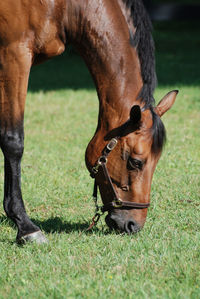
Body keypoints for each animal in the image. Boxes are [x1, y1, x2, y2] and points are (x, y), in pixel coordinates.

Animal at [0, 0, 178, 244]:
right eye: (136, 162)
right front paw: (25, 226)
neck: (65, 8)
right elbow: (13, 141)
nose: (133, 225)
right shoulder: (14, 55)